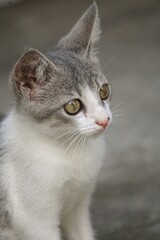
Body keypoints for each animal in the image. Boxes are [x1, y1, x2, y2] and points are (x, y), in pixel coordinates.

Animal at [0, 3, 112, 240]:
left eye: (104, 91)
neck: (68, 150)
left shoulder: (78, 206)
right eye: (72, 106)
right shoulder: (34, 220)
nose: (104, 120)